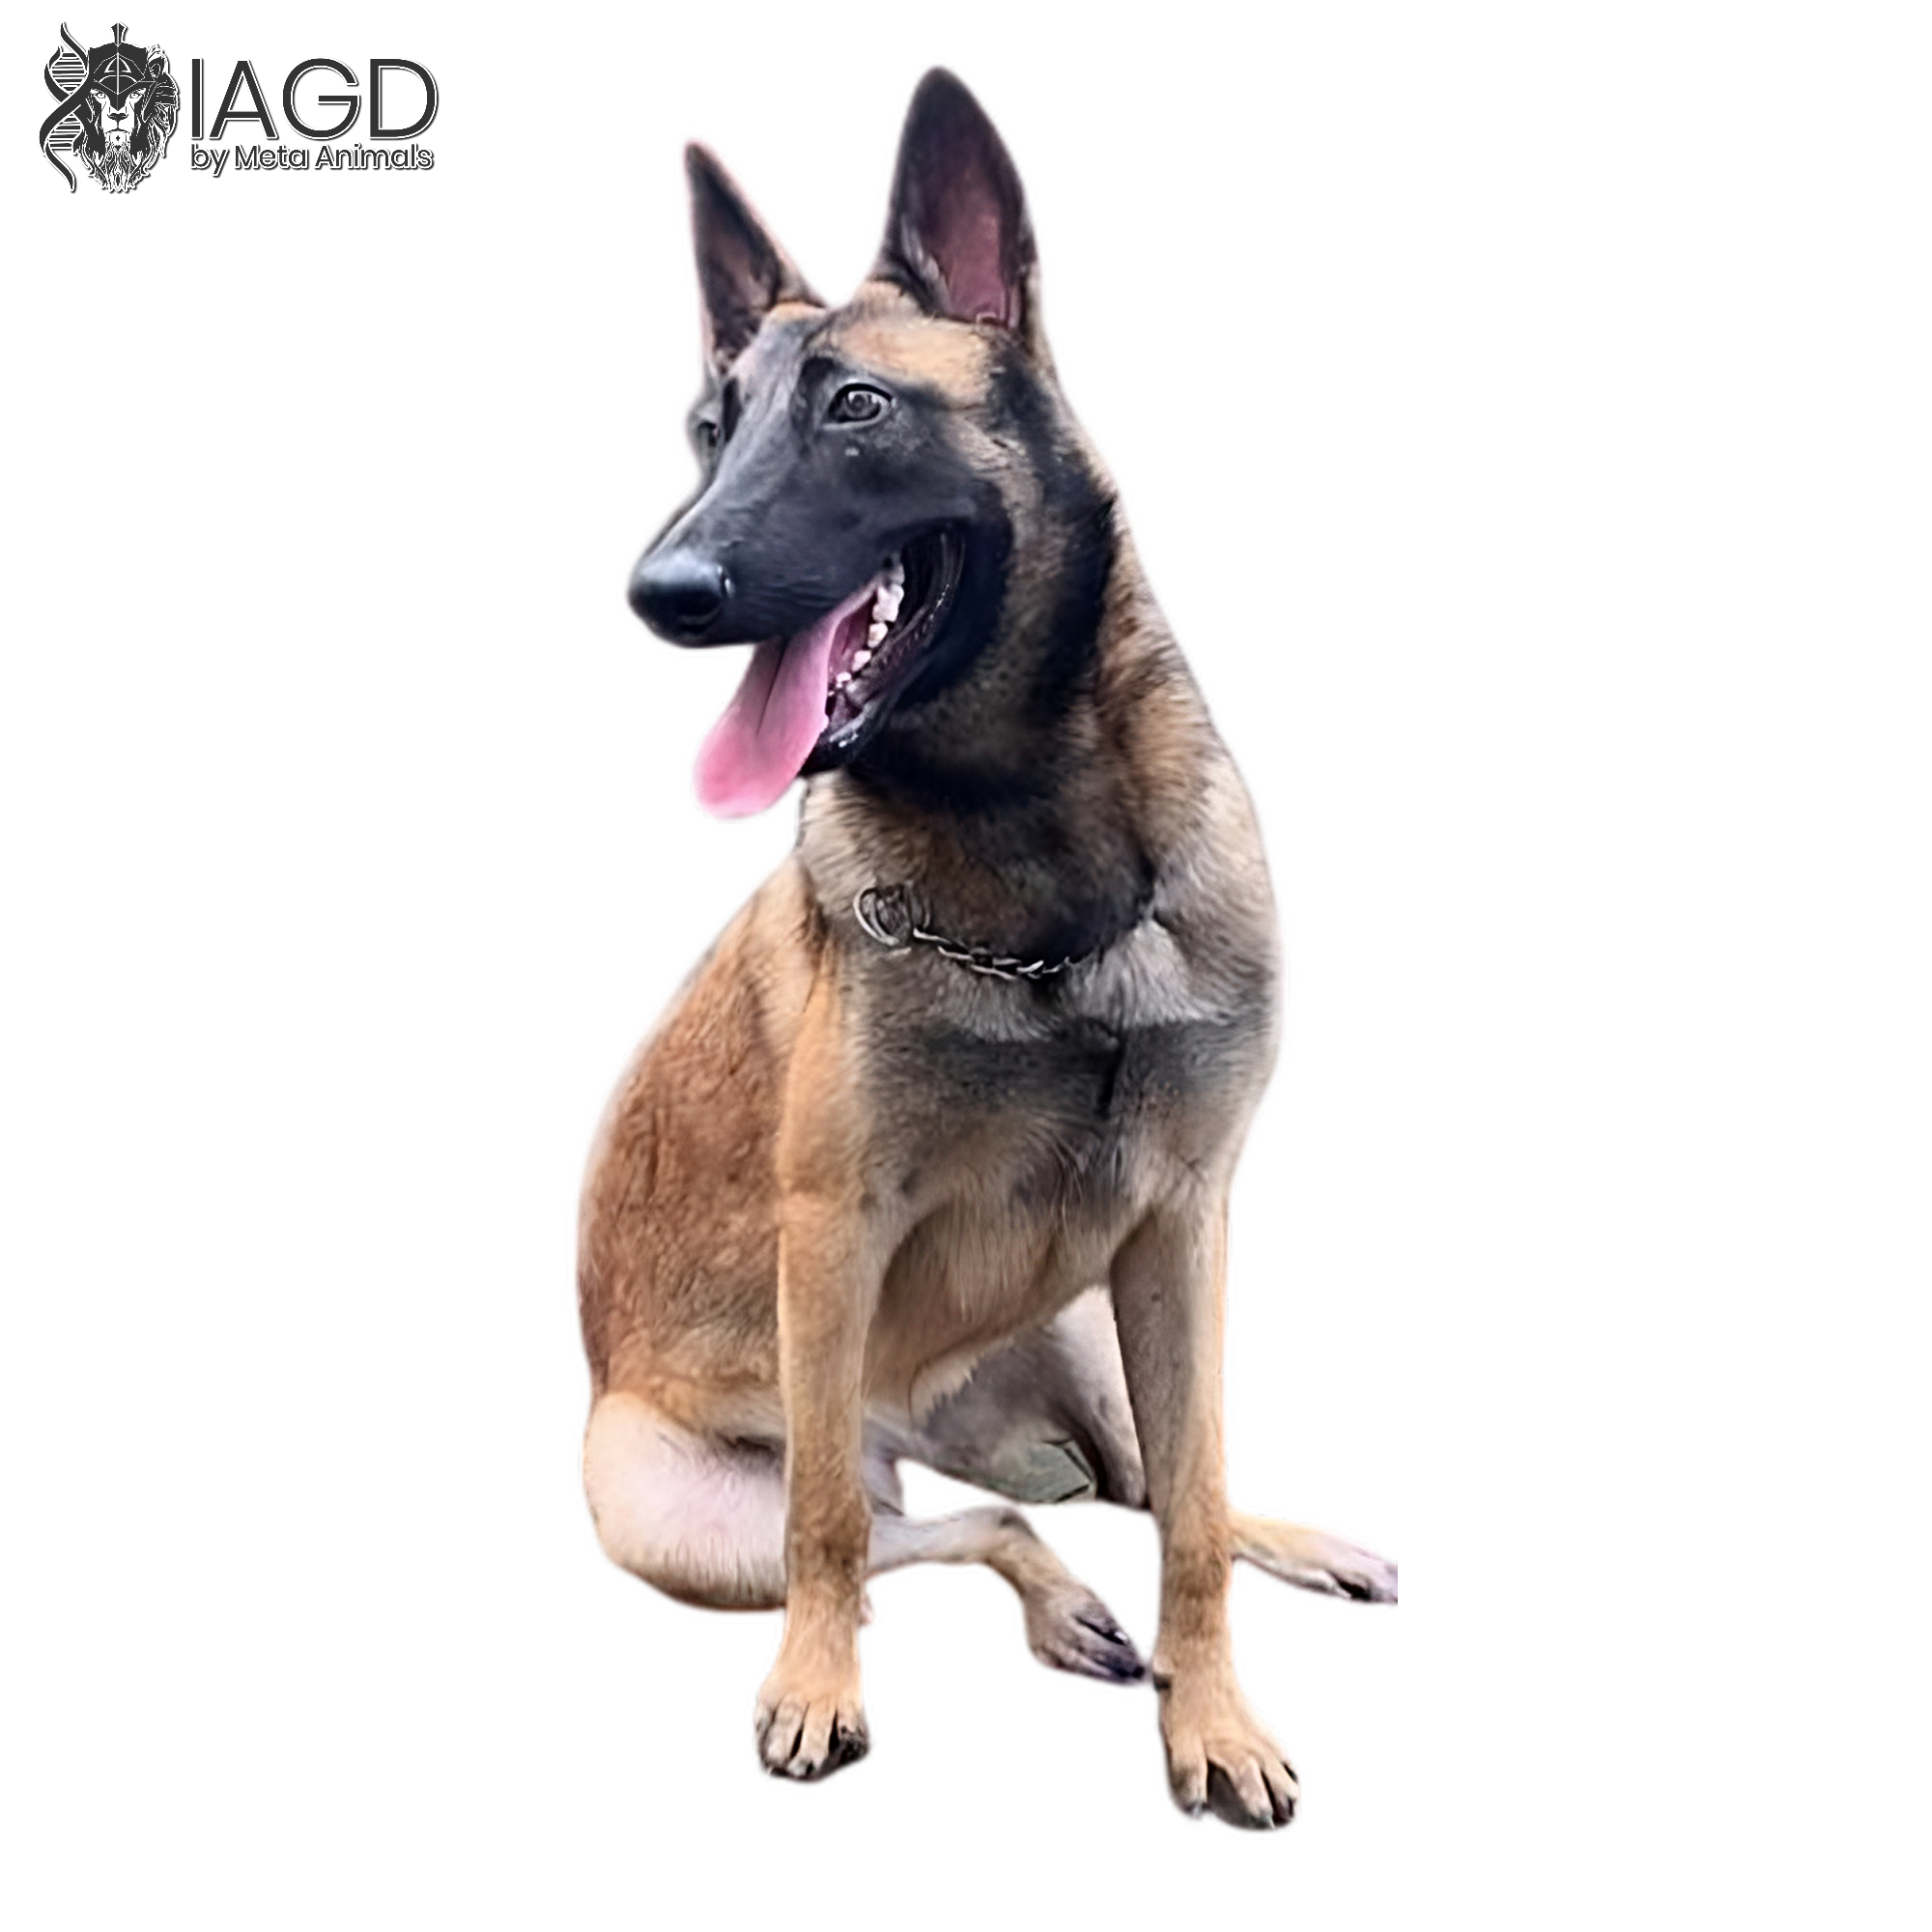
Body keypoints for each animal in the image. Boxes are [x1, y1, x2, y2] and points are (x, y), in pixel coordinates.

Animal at [579, 69, 1395, 1828]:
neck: (1049, 895)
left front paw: (1213, 1716)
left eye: (855, 410)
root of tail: (937, 1420)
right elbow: (830, 1526)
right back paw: (1056, 1607)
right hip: (678, 1512)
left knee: (1156, 1490)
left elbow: (1198, 1516)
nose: (662, 589)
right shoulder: (832, 1239)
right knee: (936, 1525)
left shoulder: (1185, 1227)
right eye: (708, 431)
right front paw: (820, 1690)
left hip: (1103, 1327)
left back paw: (1269, 1553)